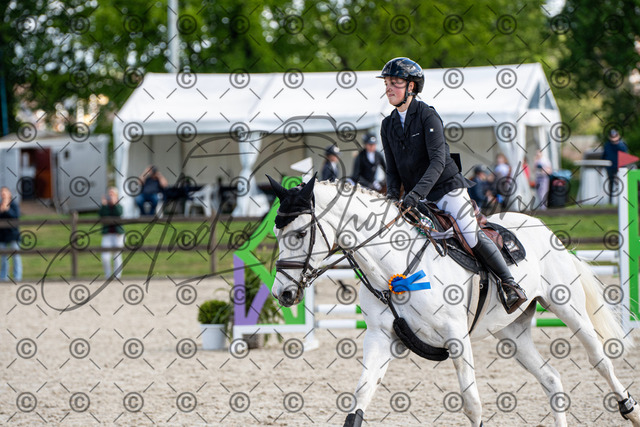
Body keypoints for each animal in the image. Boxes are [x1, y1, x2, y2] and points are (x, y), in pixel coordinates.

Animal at [267, 176, 640, 427]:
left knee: (600, 361)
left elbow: (471, 403)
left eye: (301, 233)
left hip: (568, 309)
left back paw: (629, 409)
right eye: (277, 233)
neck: (392, 268)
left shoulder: (456, 338)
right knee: (551, 379)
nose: (282, 294)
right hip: (512, 332)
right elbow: (359, 399)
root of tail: (543, 227)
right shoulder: (380, 337)